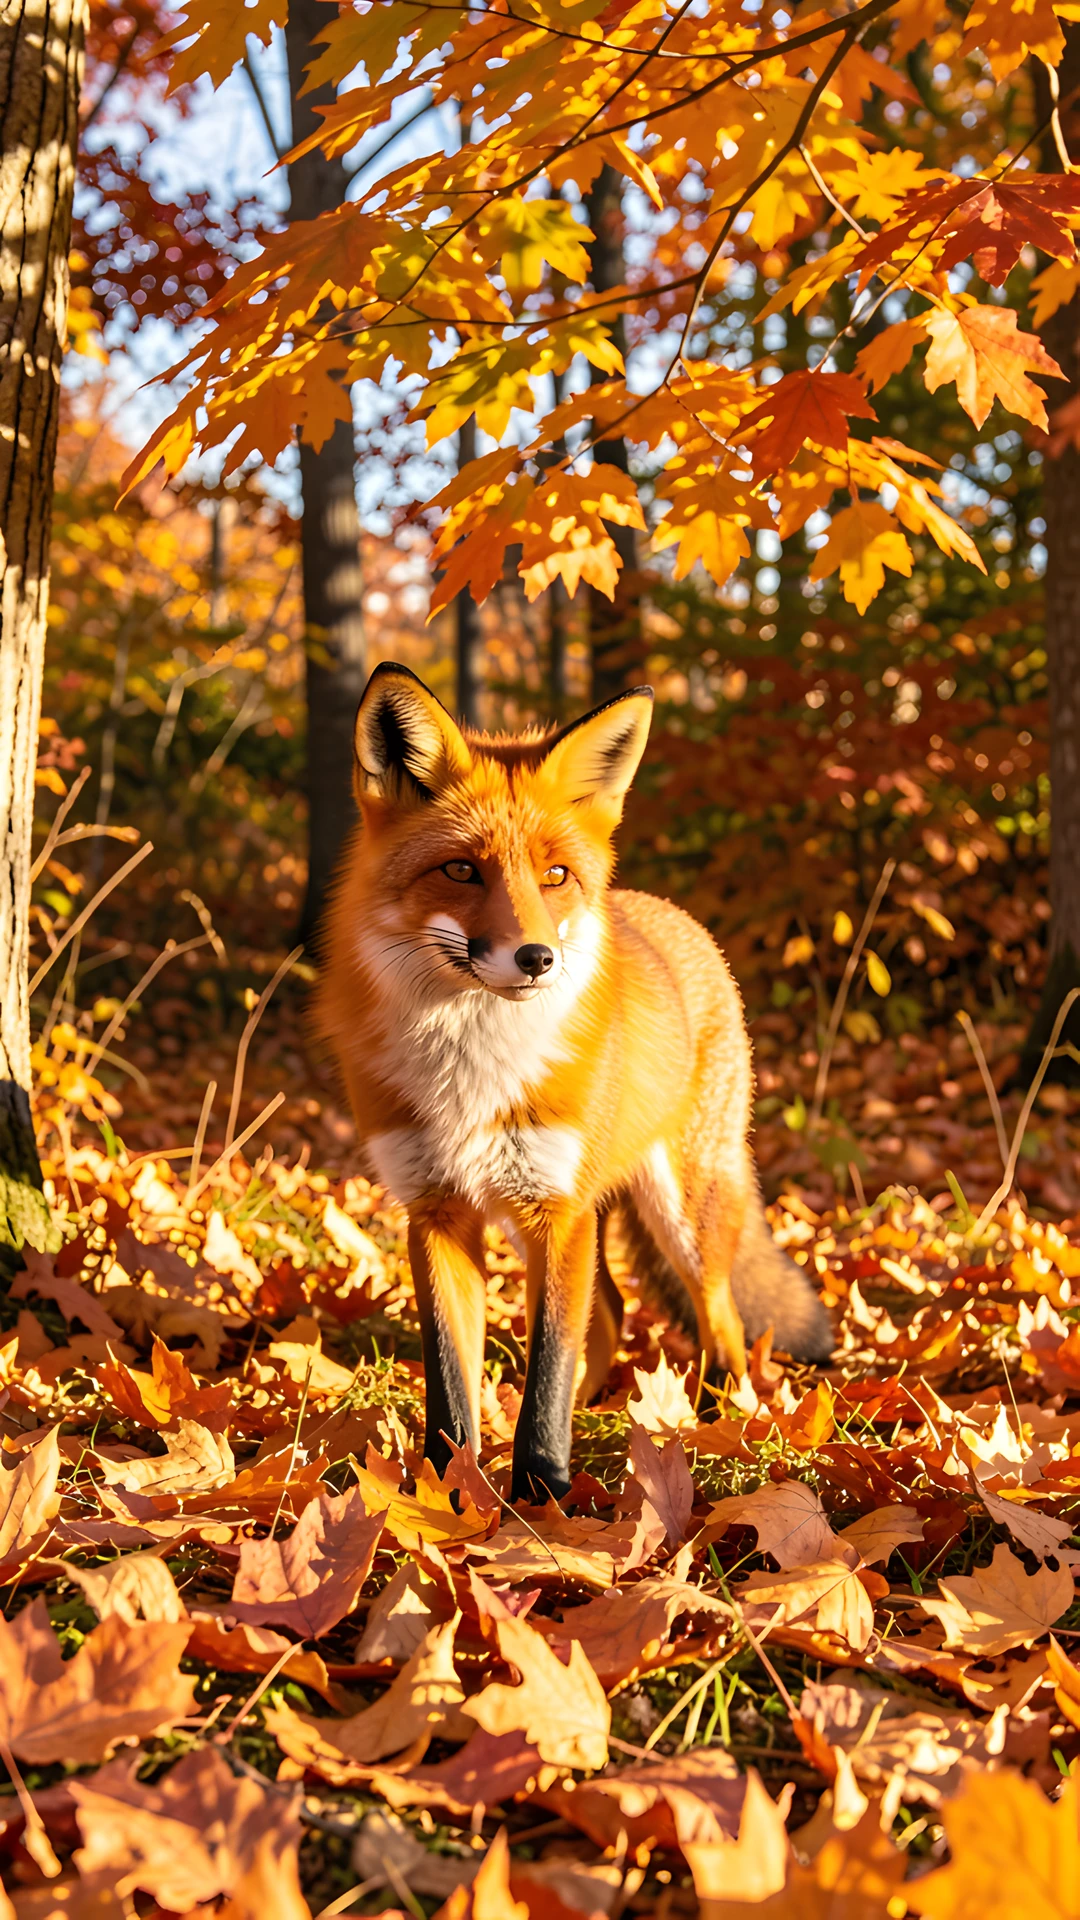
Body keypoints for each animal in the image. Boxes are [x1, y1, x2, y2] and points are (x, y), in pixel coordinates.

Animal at [318, 663, 832, 1504]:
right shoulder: (436, 1214)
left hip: (683, 1213)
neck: (473, 1071)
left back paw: (718, 1421)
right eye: (461, 869)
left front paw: (543, 1497)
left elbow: (546, 1376)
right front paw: (447, 1492)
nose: (536, 958)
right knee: (615, 1314)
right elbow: (450, 1388)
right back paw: (605, 1408)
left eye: (555, 876)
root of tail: (666, 911)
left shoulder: (557, 1211)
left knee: (719, 1320)